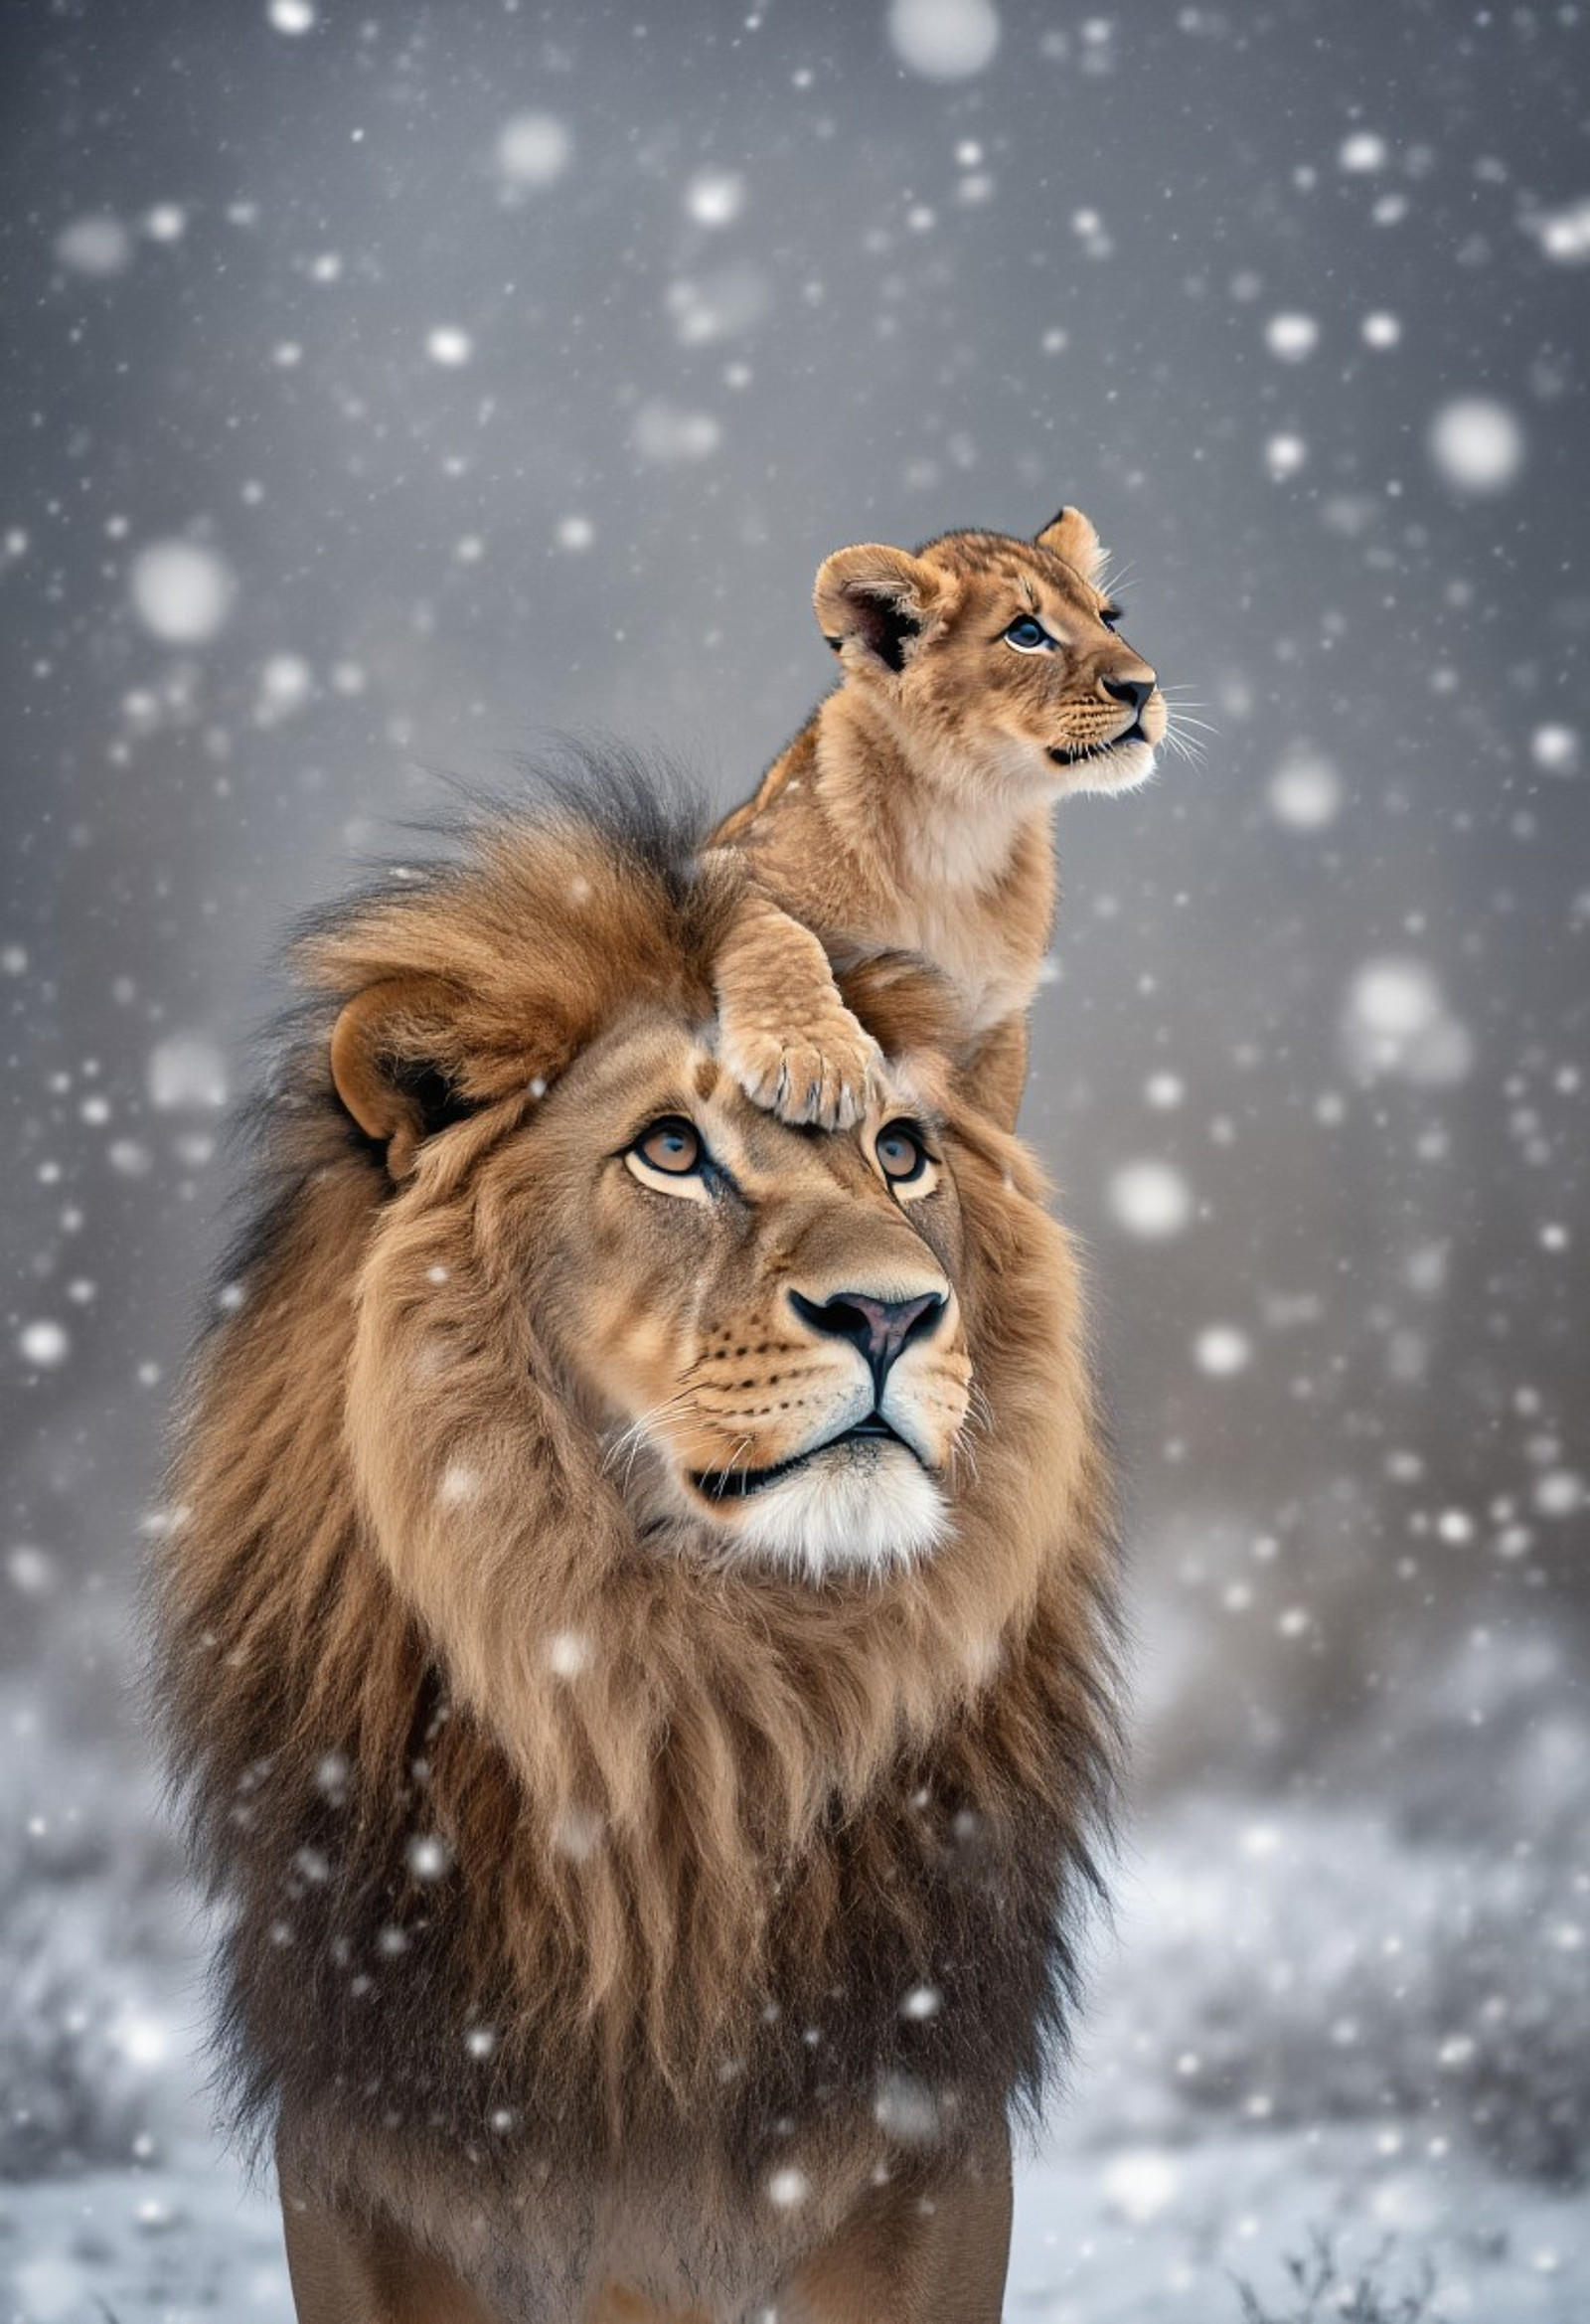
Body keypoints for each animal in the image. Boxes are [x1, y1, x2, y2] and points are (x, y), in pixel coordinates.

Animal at [153, 765, 1119, 2323]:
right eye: (672, 1149)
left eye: (901, 1153)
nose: (895, 1311)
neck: (683, 1682)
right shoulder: (371, 2142)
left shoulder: (919, 2138)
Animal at [710, 506, 1165, 1134]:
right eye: (1027, 634)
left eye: (1108, 619)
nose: (1143, 686)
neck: (964, 818)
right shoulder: (706, 863)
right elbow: (771, 926)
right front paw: (814, 1057)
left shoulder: (997, 1022)